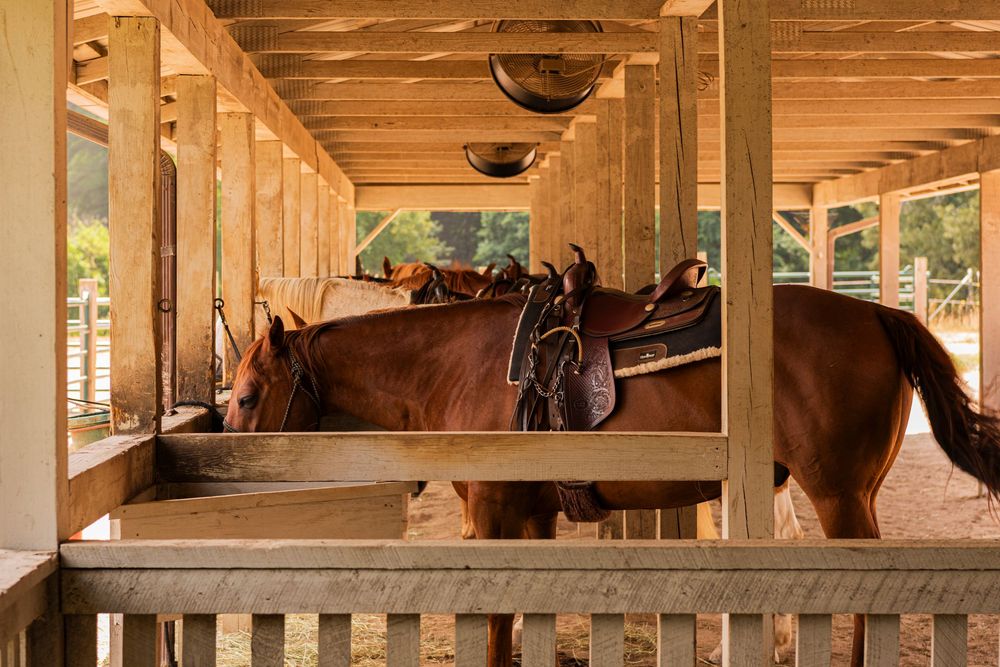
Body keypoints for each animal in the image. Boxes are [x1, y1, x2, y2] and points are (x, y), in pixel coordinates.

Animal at [223, 285, 1000, 667]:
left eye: (248, 395)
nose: (225, 453)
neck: (462, 367)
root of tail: (877, 311)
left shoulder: (493, 514)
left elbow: (495, 624)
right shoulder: (532, 515)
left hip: (842, 496)